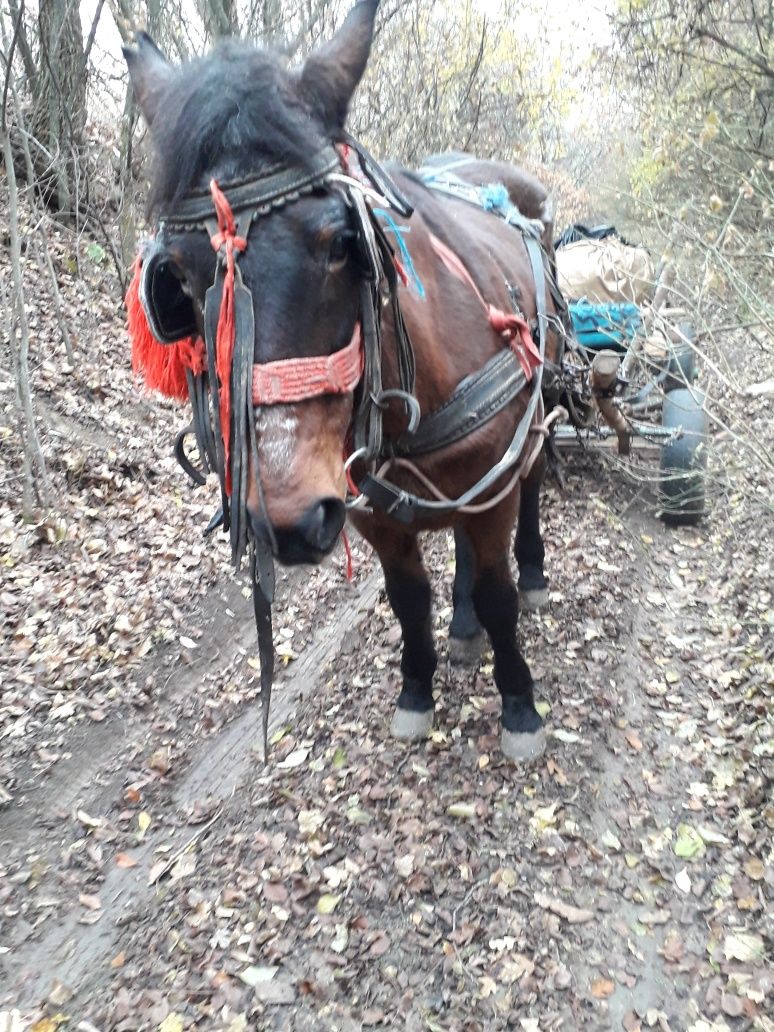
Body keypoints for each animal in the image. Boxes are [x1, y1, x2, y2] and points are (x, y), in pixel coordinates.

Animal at [125, 0, 565, 759]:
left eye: (341, 243)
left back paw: (529, 574)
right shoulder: (368, 508)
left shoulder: (490, 488)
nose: (285, 521)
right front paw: (417, 689)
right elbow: (408, 599)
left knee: (531, 485)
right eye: (174, 277)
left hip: (530, 421)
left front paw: (519, 705)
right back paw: (462, 625)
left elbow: (500, 592)